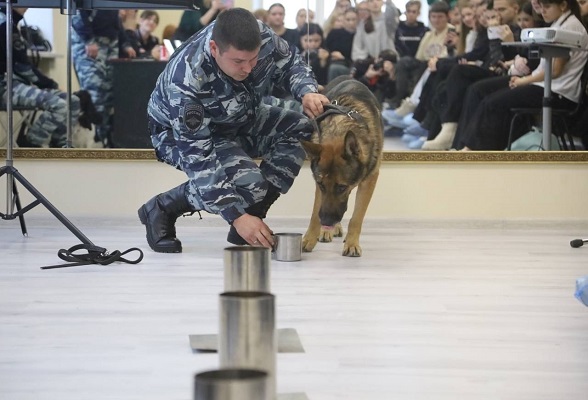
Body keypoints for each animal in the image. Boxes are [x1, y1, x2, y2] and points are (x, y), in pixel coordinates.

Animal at [300, 78, 384, 256]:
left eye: (341, 187)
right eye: (321, 185)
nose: (326, 221)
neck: (340, 128)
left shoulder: (369, 181)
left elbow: (357, 217)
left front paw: (352, 243)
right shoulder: (319, 188)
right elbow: (315, 213)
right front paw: (309, 238)